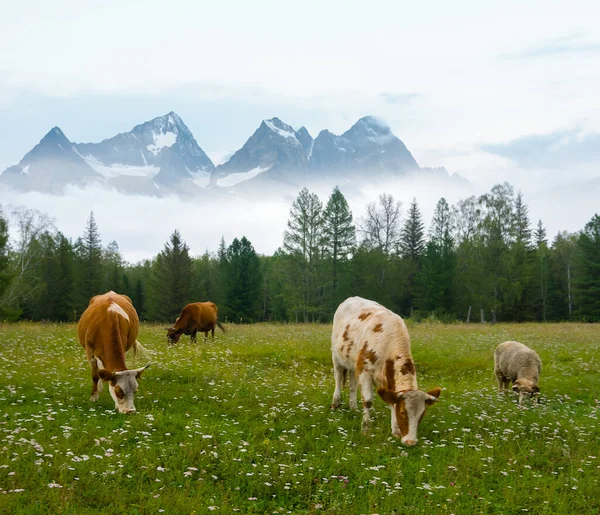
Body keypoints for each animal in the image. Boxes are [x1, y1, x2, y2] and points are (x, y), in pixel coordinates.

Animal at [328, 298, 440, 448]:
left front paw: (395, 431)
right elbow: (368, 401)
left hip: (353, 362)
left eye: (422, 414)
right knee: (338, 376)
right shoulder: (364, 371)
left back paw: (353, 408)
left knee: (352, 384)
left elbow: (391, 400)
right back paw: (336, 403)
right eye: (403, 412)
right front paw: (366, 428)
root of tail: (351, 298)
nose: (410, 442)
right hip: (336, 355)